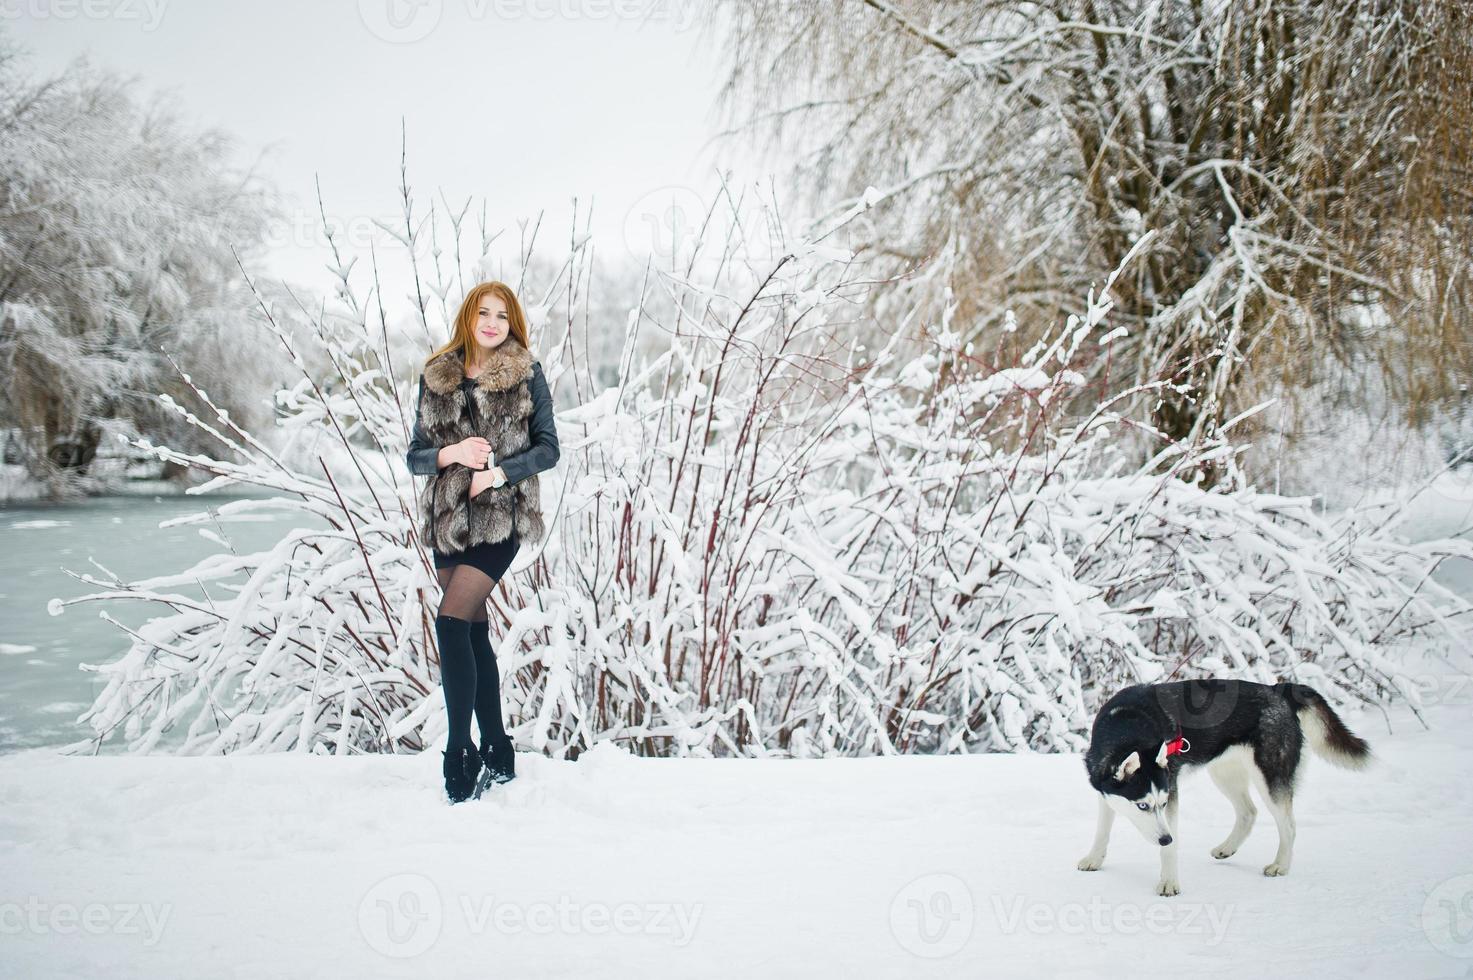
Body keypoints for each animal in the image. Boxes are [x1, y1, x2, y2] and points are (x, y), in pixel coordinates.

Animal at [1078, 680, 1372, 896]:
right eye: (1142, 805)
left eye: (1161, 804)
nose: (1165, 838)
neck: (1126, 727)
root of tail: (1278, 689)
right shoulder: (1105, 792)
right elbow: (1102, 830)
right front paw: (1094, 858)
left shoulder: (1171, 792)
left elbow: (1170, 851)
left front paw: (1169, 882)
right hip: (1224, 773)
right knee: (1248, 812)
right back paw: (1227, 848)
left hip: (1268, 777)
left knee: (1288, 825)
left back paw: (1280, 865)